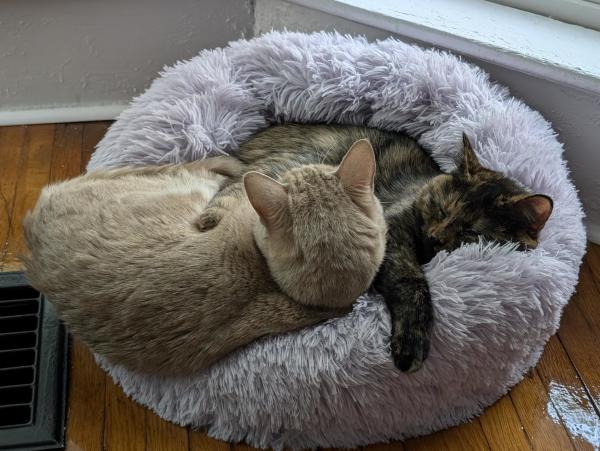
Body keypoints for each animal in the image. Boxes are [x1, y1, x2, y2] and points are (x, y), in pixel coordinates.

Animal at [200, 125, 552, 372]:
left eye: (470, 231)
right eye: (440, 208)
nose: (434, 236)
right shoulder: (393, 234)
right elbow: (413, 282)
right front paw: (411, 343)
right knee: (230, 192)